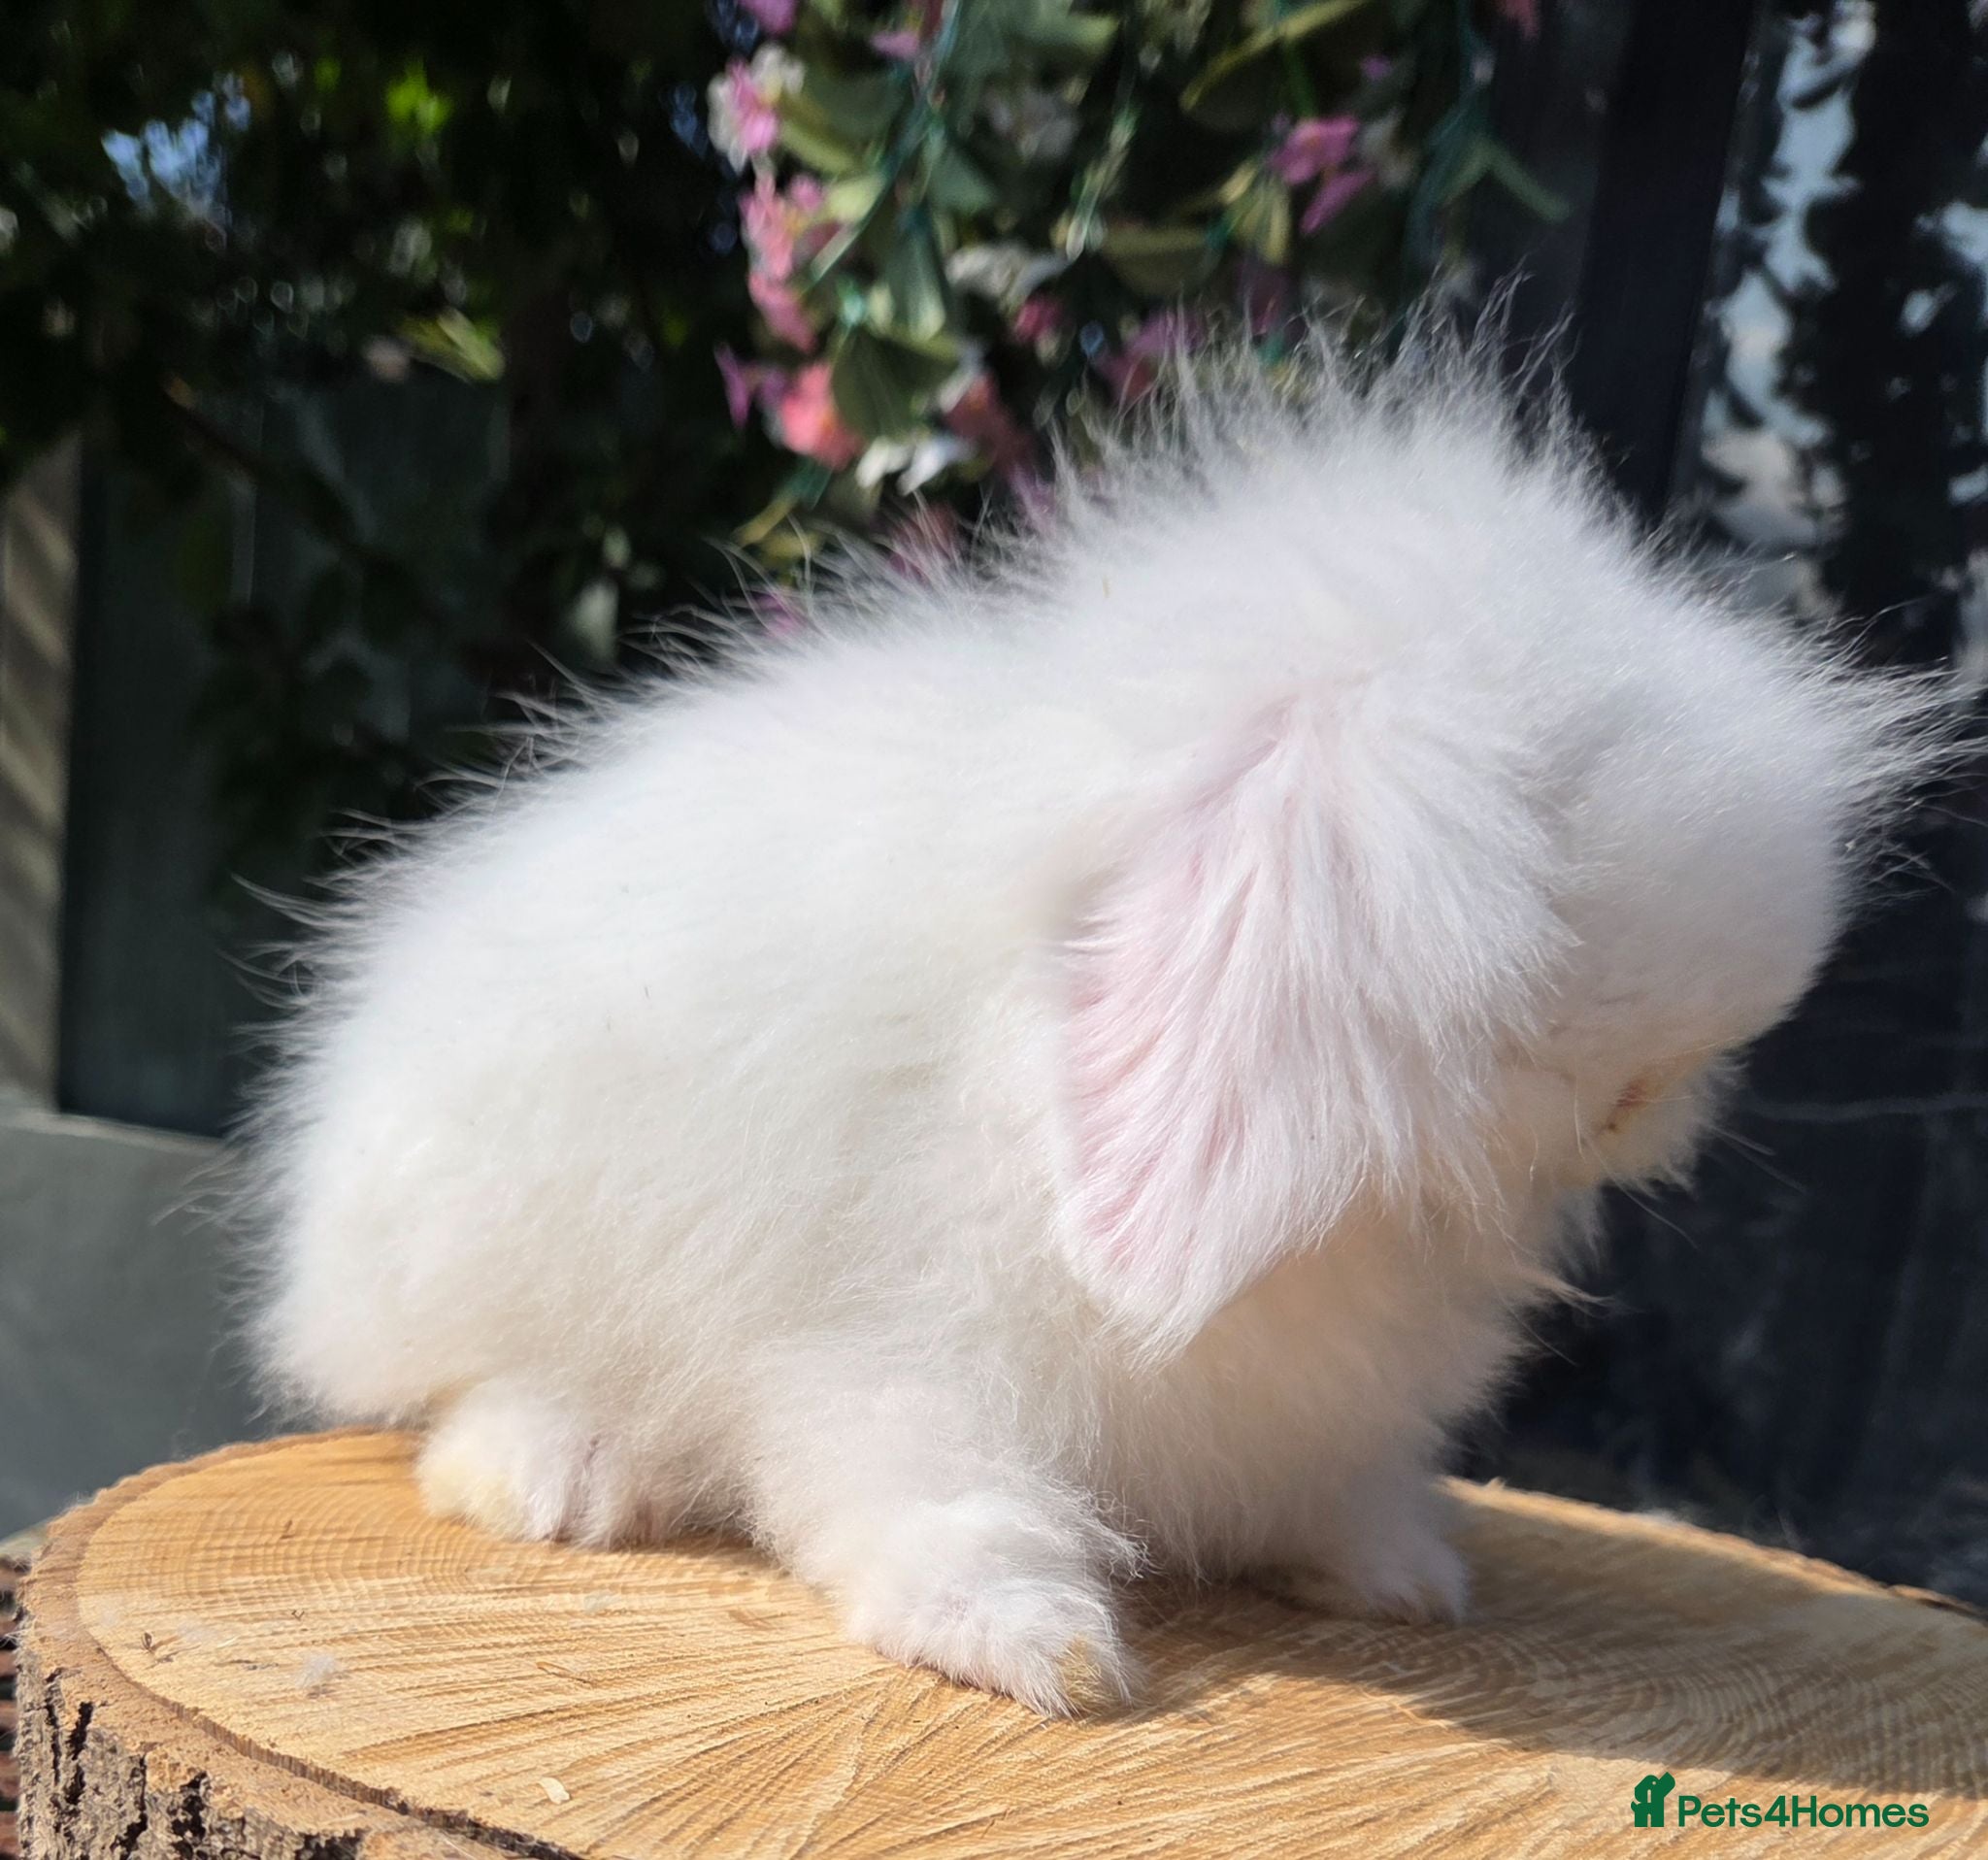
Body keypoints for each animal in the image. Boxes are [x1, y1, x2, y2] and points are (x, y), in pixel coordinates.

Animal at [246, 333, 1951, 1716]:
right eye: (1560, 949)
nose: (1665, 1098)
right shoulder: (891, 1356)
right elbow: (922, 1493)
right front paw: (1037, 1650)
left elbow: (1330, 1487)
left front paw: (1396, 1576)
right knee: (461, 1394)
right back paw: (561, 1473)